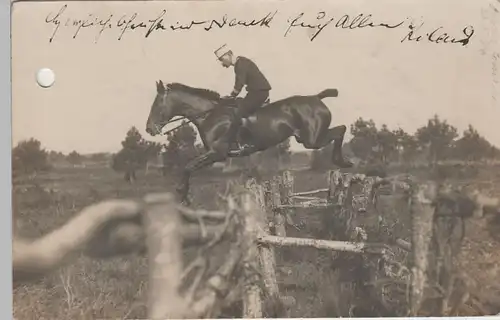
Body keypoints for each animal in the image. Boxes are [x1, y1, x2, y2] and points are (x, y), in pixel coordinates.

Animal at [145, 80, 354, 205]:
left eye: (157, 104)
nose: (149, 129)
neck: (210, 115)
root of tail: (317, 98)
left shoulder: (217, 154)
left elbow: (188, 166)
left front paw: (183, 194)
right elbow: (189, 166)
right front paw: (183, 194)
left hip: (312, 140)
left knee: (341, 129)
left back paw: (343, 161)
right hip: (307, 139)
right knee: (339, 130)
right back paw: (344, 161)